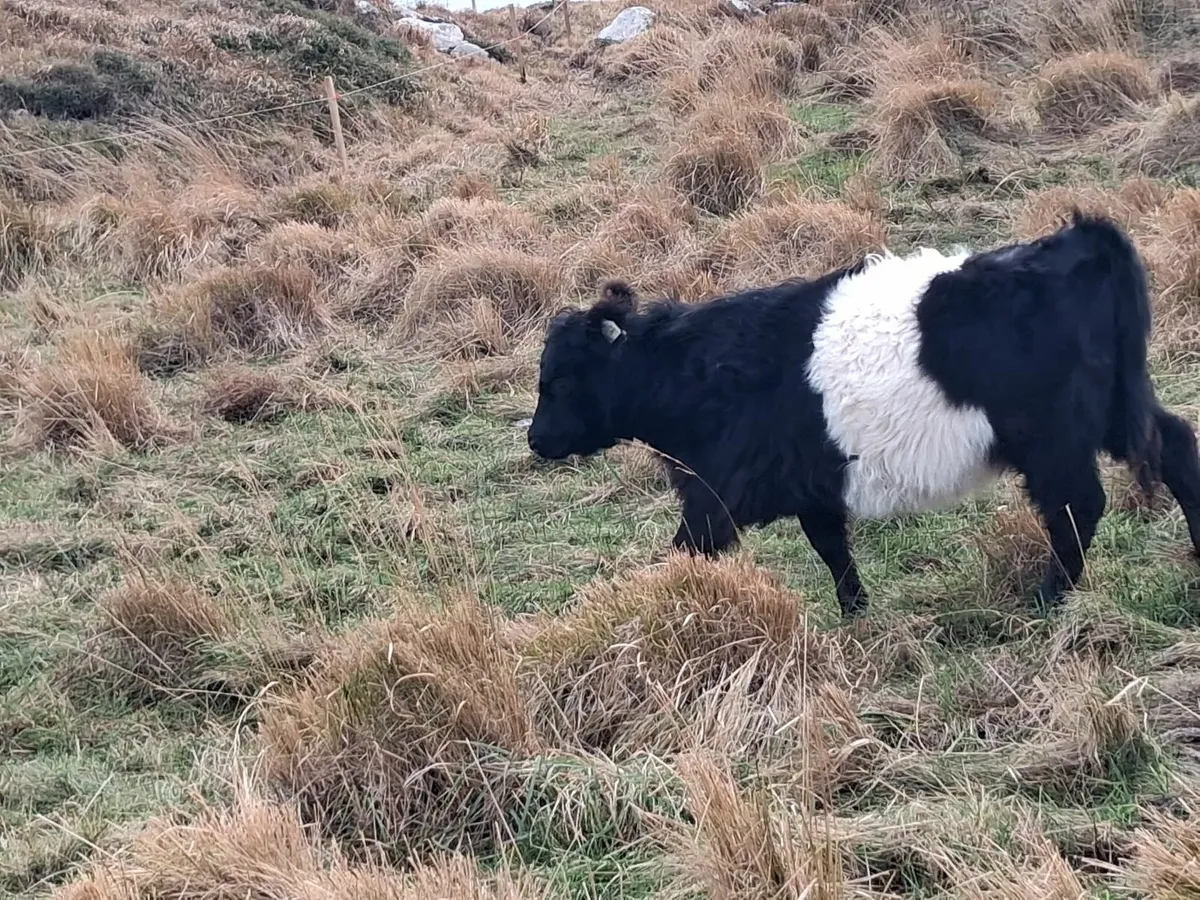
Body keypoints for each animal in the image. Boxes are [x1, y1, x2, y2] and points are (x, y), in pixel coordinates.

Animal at [526, 211, 1200, 619]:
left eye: (557, 381)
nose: (535, 440)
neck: (699, 370)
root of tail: (1076, 239)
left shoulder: (716, 493)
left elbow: (687, 552)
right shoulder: (813, 486)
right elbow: (831, 549)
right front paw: (855, 612)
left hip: (1053, 437)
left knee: (1078, 507)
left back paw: (1048, 598)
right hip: (1114, 411)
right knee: (1177, 447)